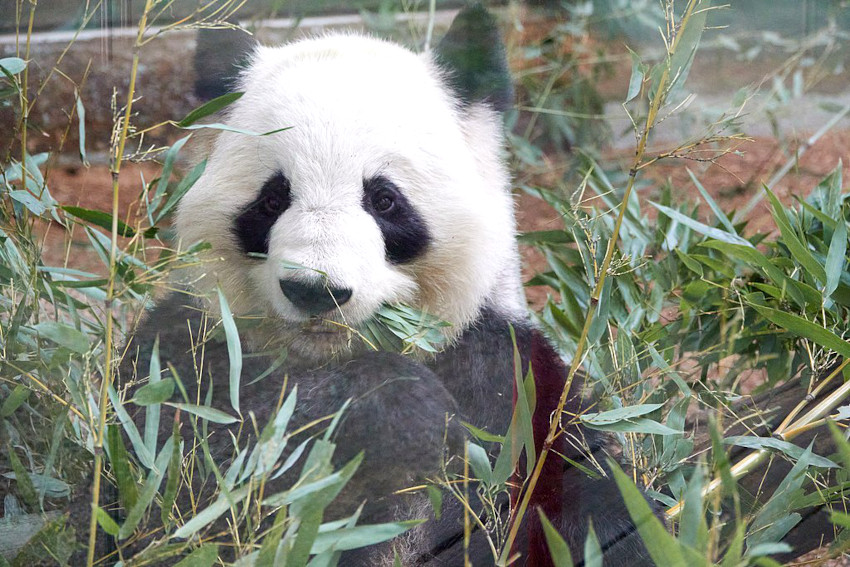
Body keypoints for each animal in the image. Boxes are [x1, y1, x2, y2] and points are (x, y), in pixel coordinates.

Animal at [88, 4, 648, 567]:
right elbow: (184, 483)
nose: (316, 291)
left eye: (384, 200)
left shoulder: (508, 381)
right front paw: (396, 407)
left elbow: (584, 496)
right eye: (272, 199)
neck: (332, 357)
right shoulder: (190, 354)